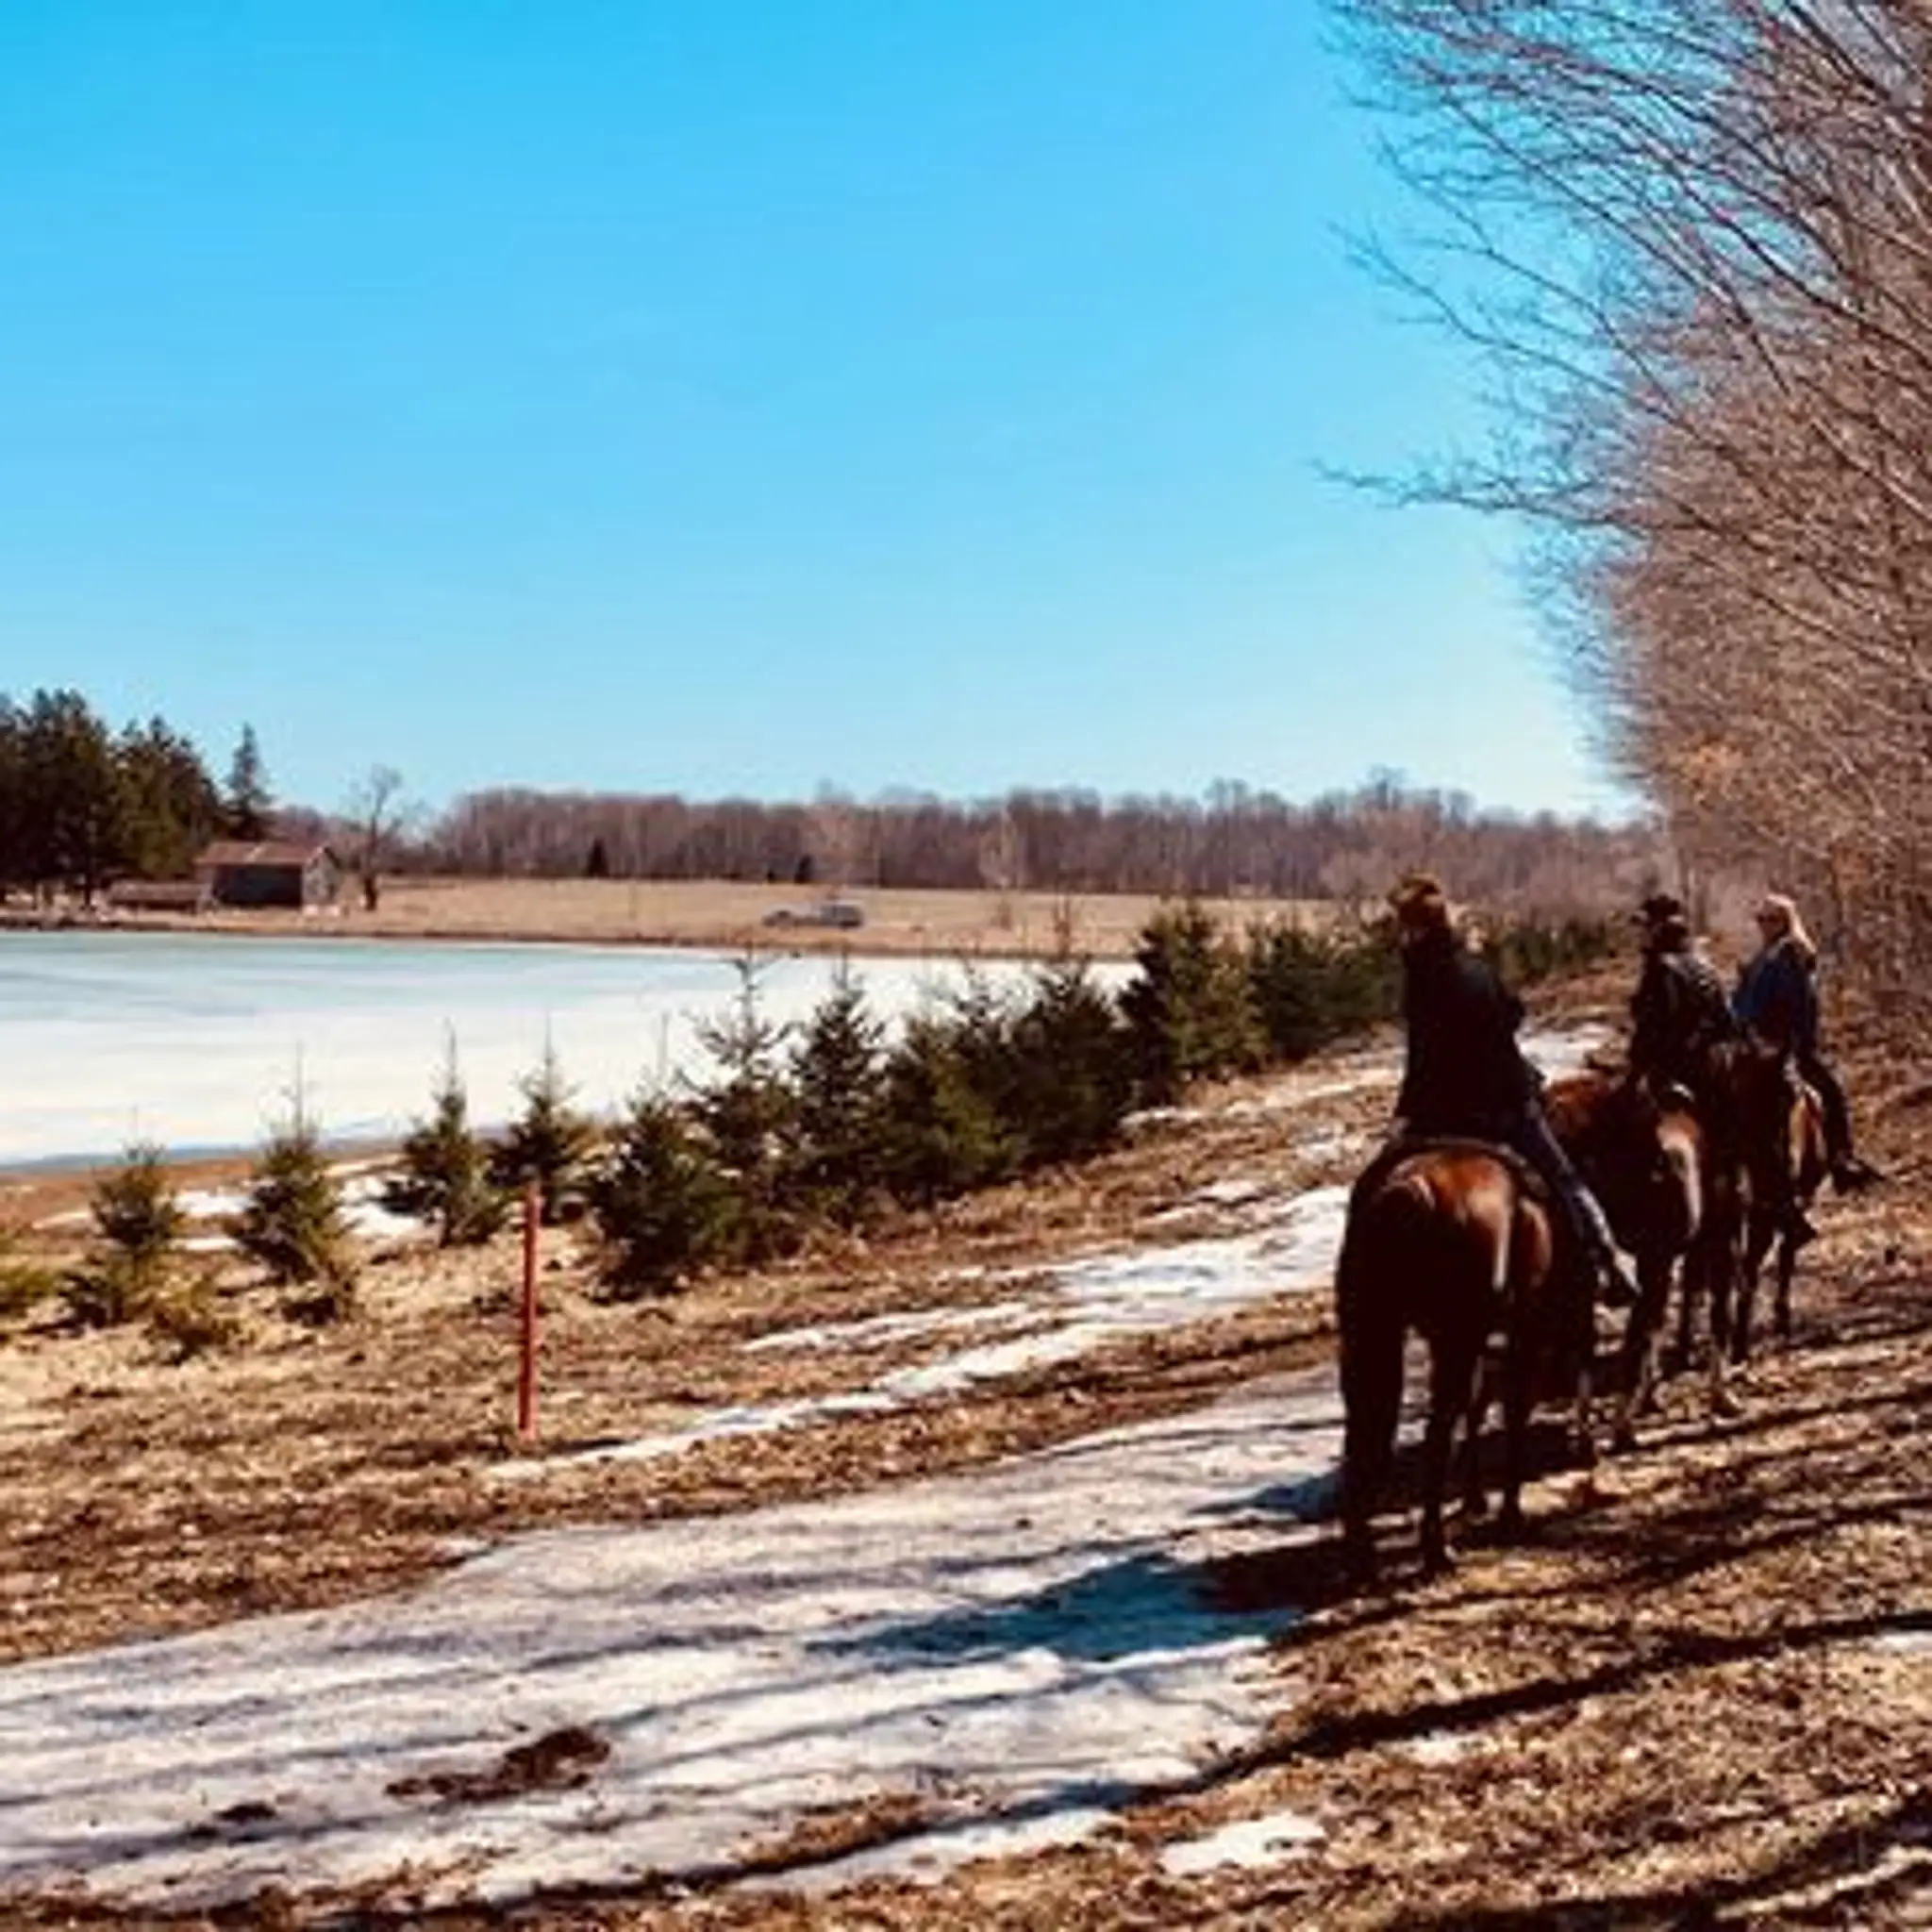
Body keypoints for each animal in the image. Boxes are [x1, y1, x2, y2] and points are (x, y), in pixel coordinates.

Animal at [1335, 1143, 1571, 1581]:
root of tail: (1411, 1192)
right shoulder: (1523, 1330)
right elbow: (1511, 1410)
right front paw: (1509, 1514)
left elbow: (1475, 1406)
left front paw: (1476, 1500)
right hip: (1456, 1337)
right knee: (1437, 1433)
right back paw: (1437, 1551)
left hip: (1374, 1338)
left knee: (1365, 1432)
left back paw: (1363, 1559)